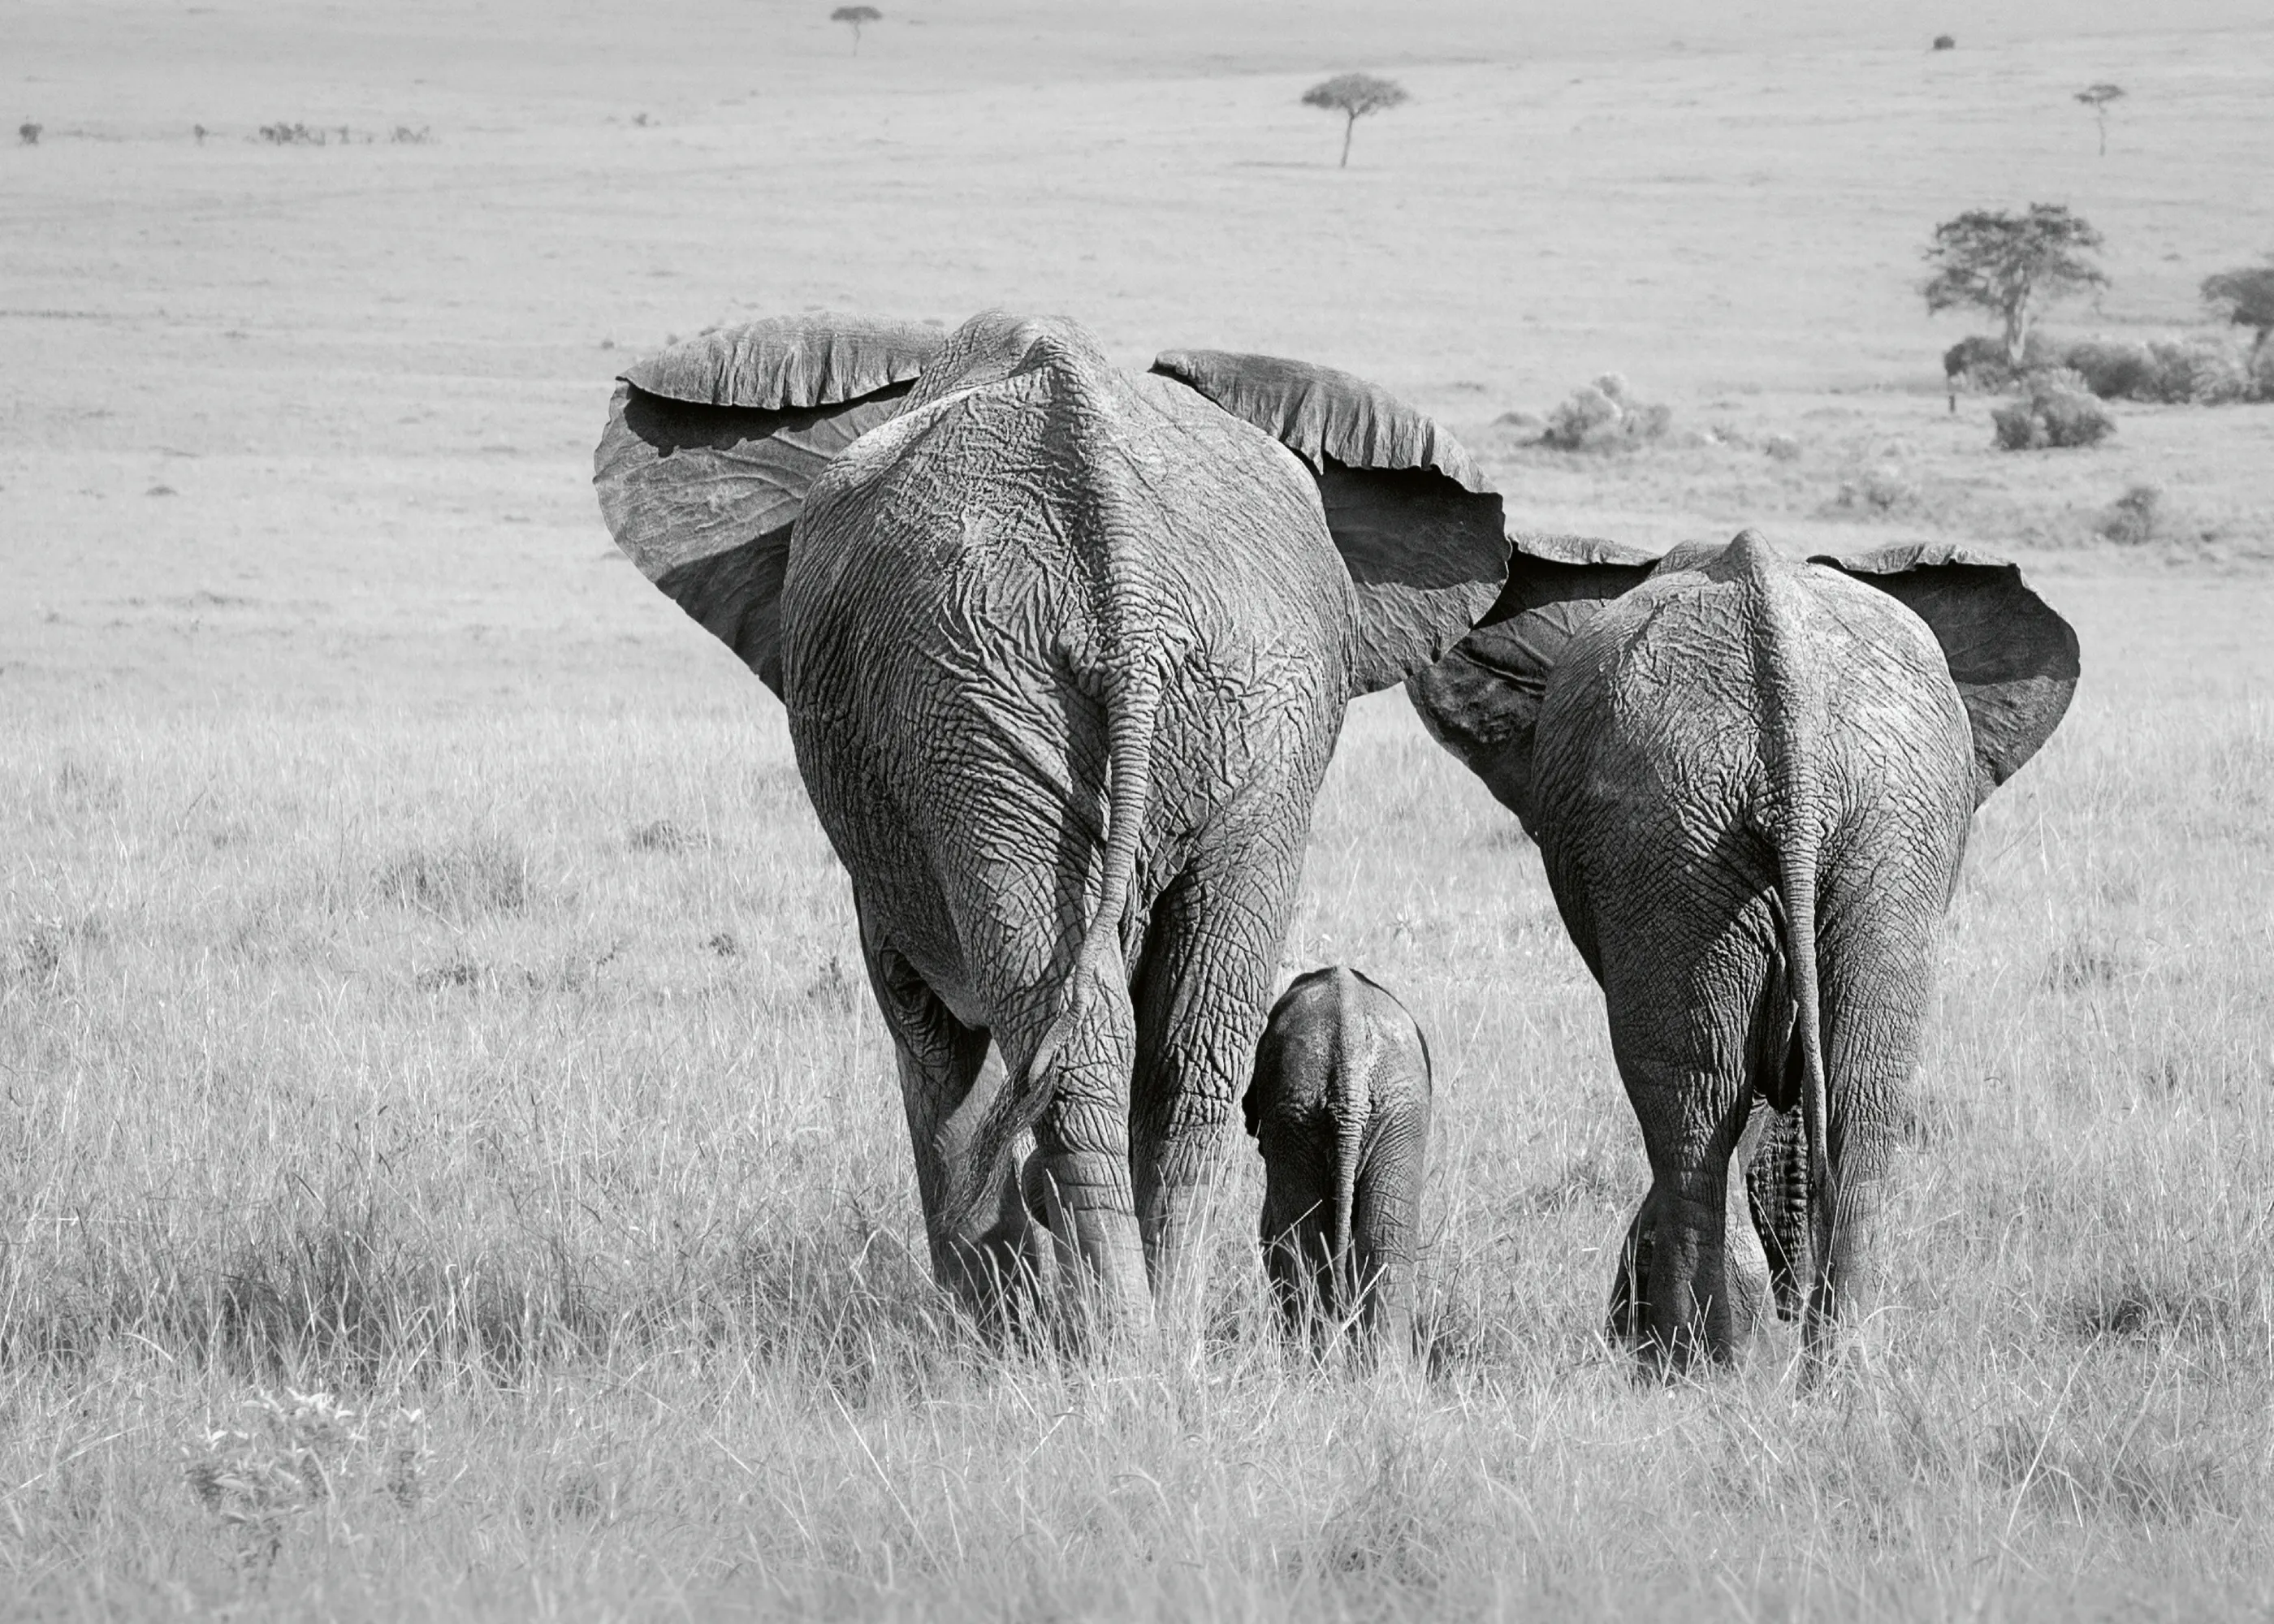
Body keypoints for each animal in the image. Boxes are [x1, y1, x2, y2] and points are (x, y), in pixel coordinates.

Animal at [1407, 528, 2079, 1370]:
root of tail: (1792, 737)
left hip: (1725, 828)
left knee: (1693, 1104)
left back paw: (1691, 1366)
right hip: (1838, 834)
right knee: (1852, 1097)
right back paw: (1825, 1371)